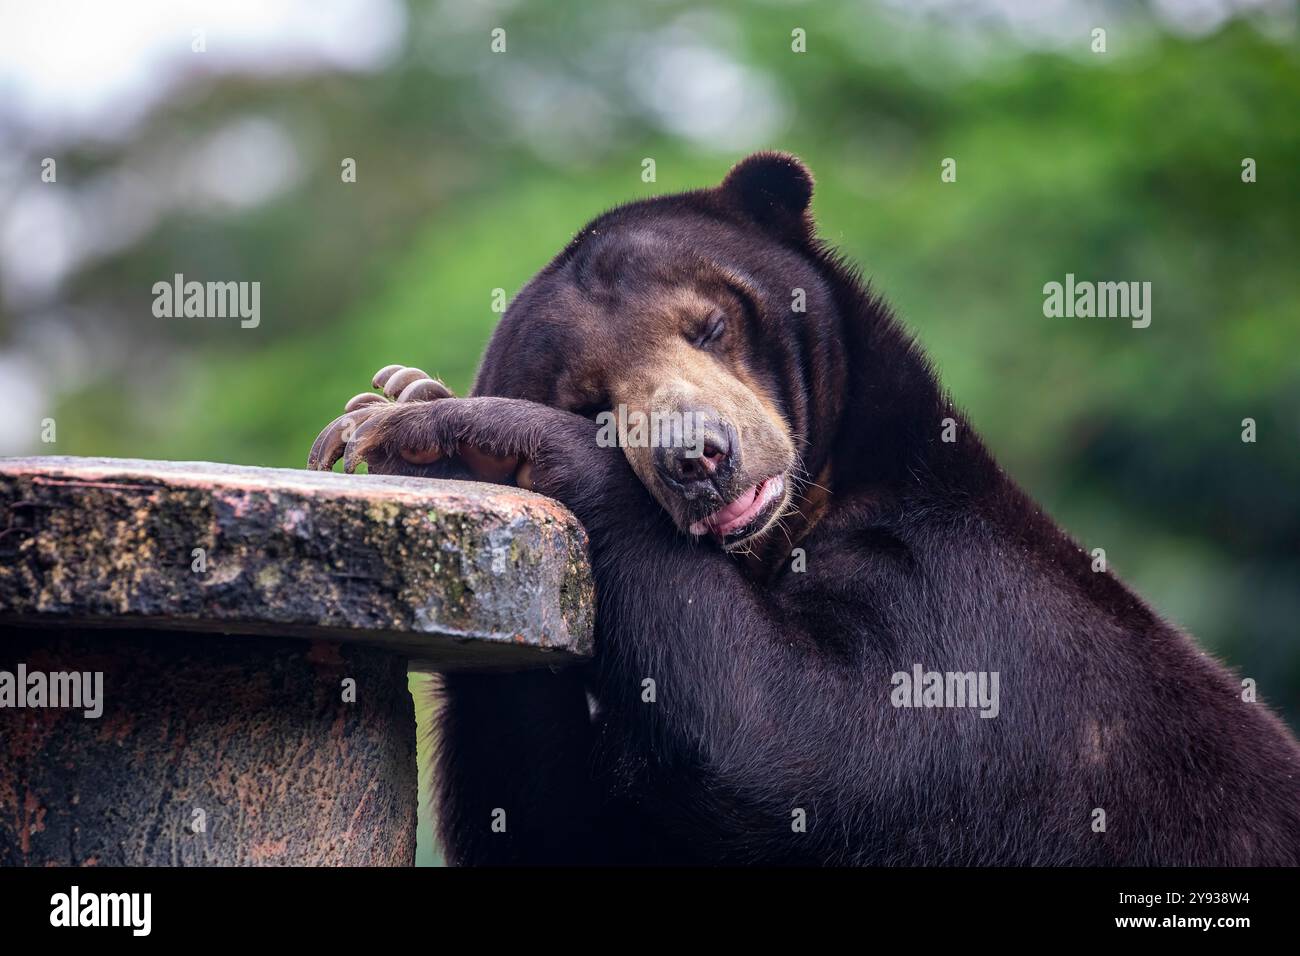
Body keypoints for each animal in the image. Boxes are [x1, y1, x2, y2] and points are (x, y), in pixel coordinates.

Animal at [306, 151, 1300, 868]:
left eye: (708, 326)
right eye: (594, 400)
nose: (698, 459)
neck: (800, 524)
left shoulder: (964, 617)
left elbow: (798, 742)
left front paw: (429, 421)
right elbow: (550, 826)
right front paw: (400, 401)